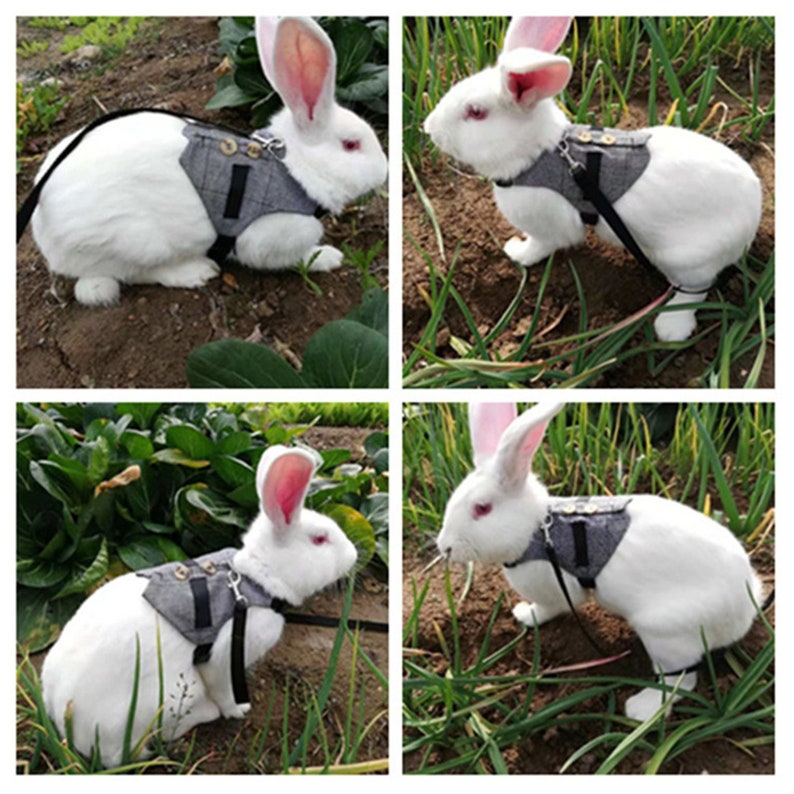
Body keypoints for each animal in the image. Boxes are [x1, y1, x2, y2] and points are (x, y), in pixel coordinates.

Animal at [29, 16, 387, 307]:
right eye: (351, 145)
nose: (384, 171)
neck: (293, 169)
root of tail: (43, 228)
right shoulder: (268, 239)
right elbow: (295, 258)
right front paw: (330, 257)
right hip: (134, 243)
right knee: (134, 274)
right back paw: (196, 272)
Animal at [41, 444, 358, 768]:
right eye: (319, 539)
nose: (354, 555)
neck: (256, 579)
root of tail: (65, 721)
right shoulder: (227, 656)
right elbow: (225, 692)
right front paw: (238, 710)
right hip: (166, 698)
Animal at [423, 17, 762, 342]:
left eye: (476, 112)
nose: (429, 128)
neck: (539, 153)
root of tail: (754, 213)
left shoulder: (548, 227)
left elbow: (541, 245)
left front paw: (517, 253)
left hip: (688, 260)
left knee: (694, 290)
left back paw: (671, 328)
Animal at [436, 402, 764, 722]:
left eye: (482, 508)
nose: (444, 546)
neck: (536, 529)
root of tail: (746, 608)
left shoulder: (556, 591)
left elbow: (547, 609)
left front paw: (525, 616)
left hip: (666, 635)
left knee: (679, 681)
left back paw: (640, 709)